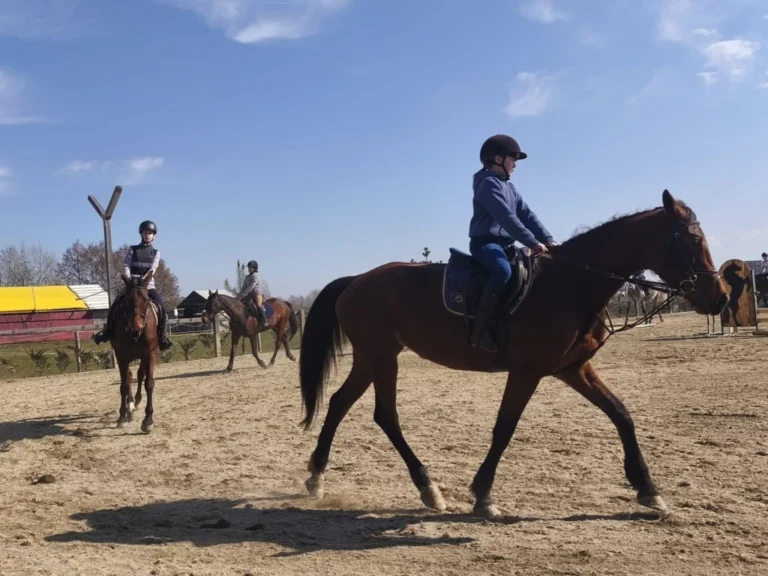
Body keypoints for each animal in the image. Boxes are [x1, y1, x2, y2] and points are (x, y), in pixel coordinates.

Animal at [110, 271, 160, 433]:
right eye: (127, 300)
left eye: (146, 300)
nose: (135, 330)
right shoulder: (121, 356)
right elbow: (124, 385)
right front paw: (122, 417)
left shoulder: (150, 354)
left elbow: (149, 383)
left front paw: (148, 420)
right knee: (130, 377)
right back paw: (130, 408)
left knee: (139, 375)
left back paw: (135, 404)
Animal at [297, 190, 727, 518]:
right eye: (692, 241)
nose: (721, 298)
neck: (571, 284)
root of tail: (356, 280)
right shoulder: (527, 371)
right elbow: (505, 427)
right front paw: (483, 495)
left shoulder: (573, 368)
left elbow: (621, 414)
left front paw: (648, 488)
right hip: (383, 357)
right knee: (385, 416)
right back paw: (428, 487)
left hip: (370, 358)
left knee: (339, 404)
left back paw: (317, 476)